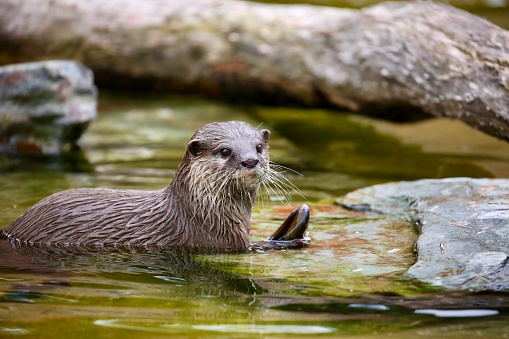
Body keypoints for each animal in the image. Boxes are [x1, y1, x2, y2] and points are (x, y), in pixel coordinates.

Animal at [2, 122, 310, 252]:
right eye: (224, 151)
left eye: (259, 146)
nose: (250, 160)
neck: (201, 213)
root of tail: (11, 230)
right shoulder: (219, 240)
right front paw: (292, 233)